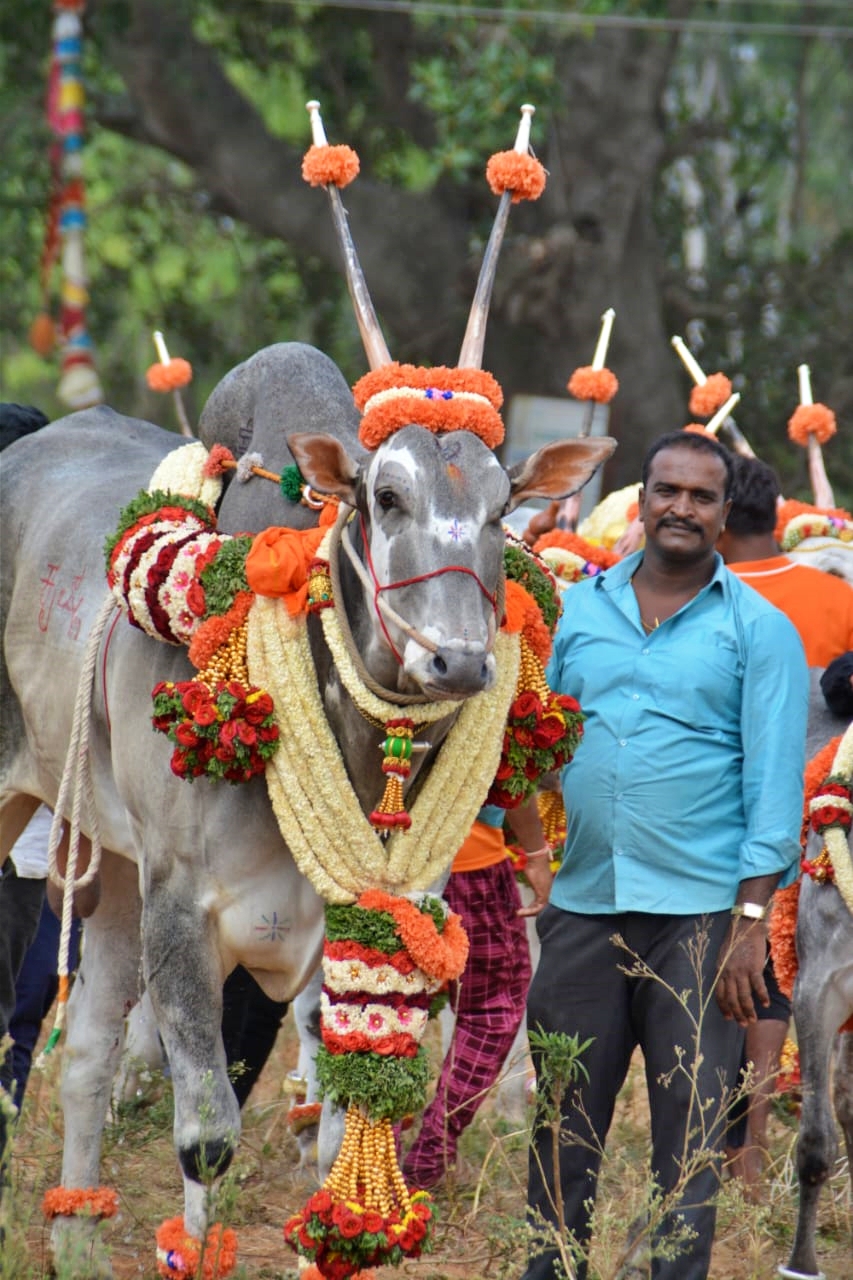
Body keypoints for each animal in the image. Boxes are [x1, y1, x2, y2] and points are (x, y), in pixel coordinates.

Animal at [0, 102, 614, 1280]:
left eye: (505, 503)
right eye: (384, 493)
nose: (457, 663)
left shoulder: (348, 933)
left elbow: (337, 1132)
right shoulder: (182, 911)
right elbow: (205, 1136)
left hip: (105, 863)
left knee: (88, 1051)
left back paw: (76, 1229)